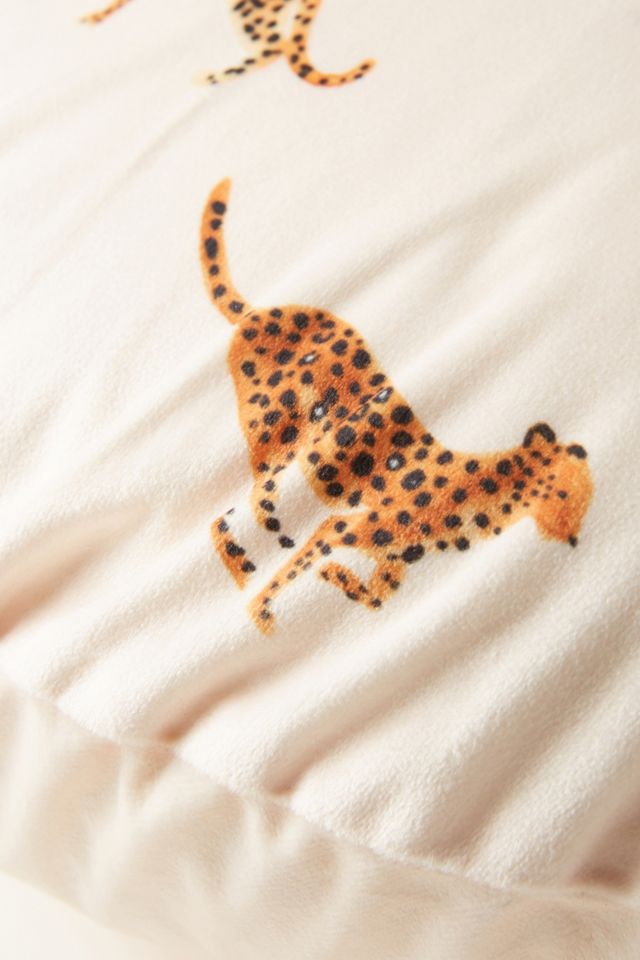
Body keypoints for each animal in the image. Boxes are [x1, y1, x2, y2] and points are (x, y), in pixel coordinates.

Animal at [201, 179, 593, 634]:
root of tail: (263, 311)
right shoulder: (340, 527)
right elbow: (288, 576)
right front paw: (265, 612)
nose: (574, 538)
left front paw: (334, 577)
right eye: (571, 493)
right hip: (273, 431)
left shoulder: (385, 560)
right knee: (249, 503)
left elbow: (367, 594)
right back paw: (246, 554)